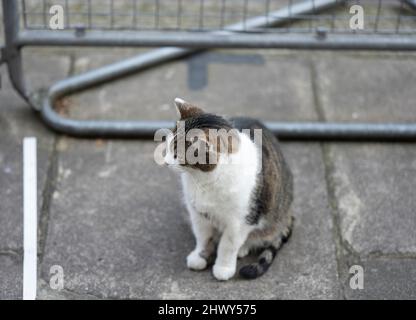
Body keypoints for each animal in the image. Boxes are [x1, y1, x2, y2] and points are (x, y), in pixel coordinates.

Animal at [162, 98, 292, 280]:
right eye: (167, 145)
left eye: (176, 155)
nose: (165, 162)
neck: (203, 179)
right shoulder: (197, 213)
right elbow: (203, 237)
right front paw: (200, 256)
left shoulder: (241, 221)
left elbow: (228, 245)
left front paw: (223, 268)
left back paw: (243, 248)